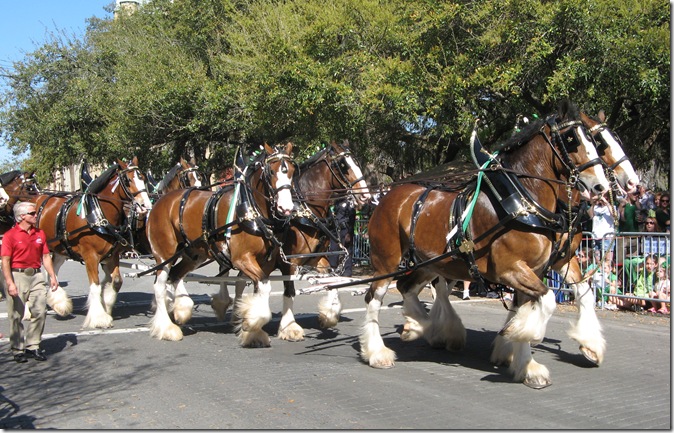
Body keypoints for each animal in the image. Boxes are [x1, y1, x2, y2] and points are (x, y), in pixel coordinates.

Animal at [29, 157, 153, 328]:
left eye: (143, 178)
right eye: (128, 180)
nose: (146, 206)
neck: (97, 215)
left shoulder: (112, 255)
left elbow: (115, 281)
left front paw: (106, 306)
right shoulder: (90, 256)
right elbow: (95, 286)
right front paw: (99, 318)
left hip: (59, 249)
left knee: (52, 271)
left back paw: (59, 303)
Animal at [145, 142, 296, 346]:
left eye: (293, 171)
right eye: (271, 172)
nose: (286, 208)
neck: (250, 209)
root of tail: (161, 201)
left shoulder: (265, 262)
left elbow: (258, 289)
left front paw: (252, 329)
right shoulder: (242, 259)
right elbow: (264, 287)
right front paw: (252, 322)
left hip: (194, 255)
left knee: (175, 276)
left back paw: (180, 311)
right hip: (164, 255)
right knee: (160, 285)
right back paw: (166, 328)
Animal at [210, 139, 372, 341]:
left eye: (356, 162)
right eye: (342, 165)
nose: (366, 196)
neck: (305, 210)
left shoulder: (318, 258)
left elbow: (332, 279)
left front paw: (330, 314)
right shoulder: (288, 261)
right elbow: (290, 290)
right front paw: (289, 327)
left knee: (241, 281)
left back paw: (240, 315)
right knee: (225, 274)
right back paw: (224, 306)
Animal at [358, 101, 610, 388]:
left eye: (595, 141)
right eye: (571, 139)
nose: (602, 185)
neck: (521, 202)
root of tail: (389, 196)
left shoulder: (544, 266)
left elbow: (553, 300)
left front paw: (526, 362)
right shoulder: (510, 269)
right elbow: (546, 301)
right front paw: (523, 335)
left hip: (430, 263)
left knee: (406, 287)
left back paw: (420, 326)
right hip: (386, 262)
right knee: (374, 298)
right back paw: (378, 352)